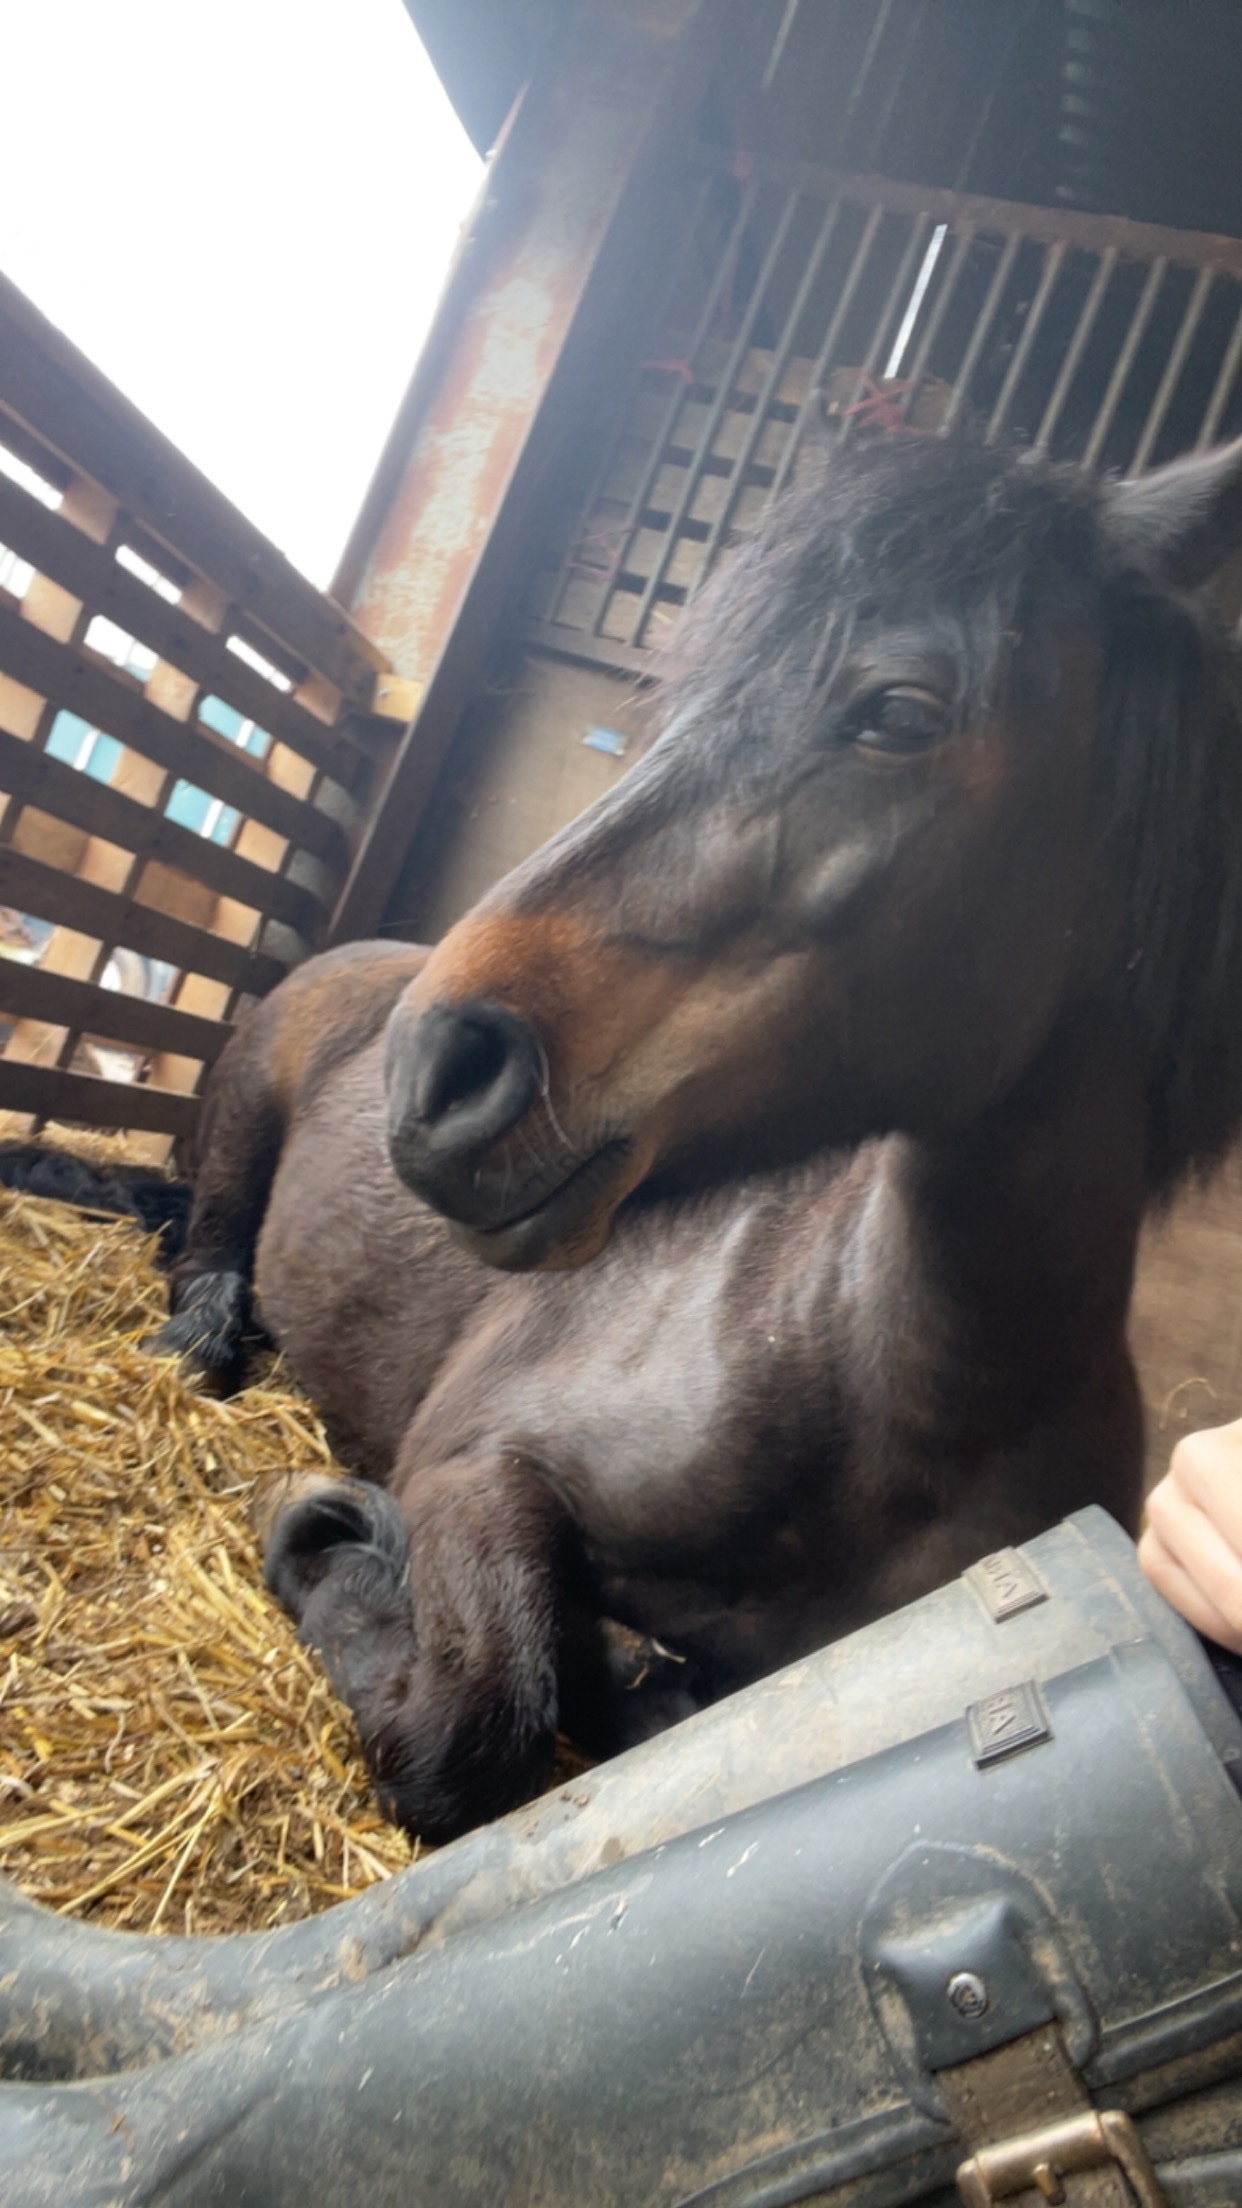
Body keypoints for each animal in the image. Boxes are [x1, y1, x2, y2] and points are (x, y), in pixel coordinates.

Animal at [157, 432, 1242, 1843]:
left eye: (900, 712)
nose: (435, 1064)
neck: (888, 1406)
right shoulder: (473, 1464)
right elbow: (473, 1724)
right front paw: (341, 1543)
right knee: (210, 1246)